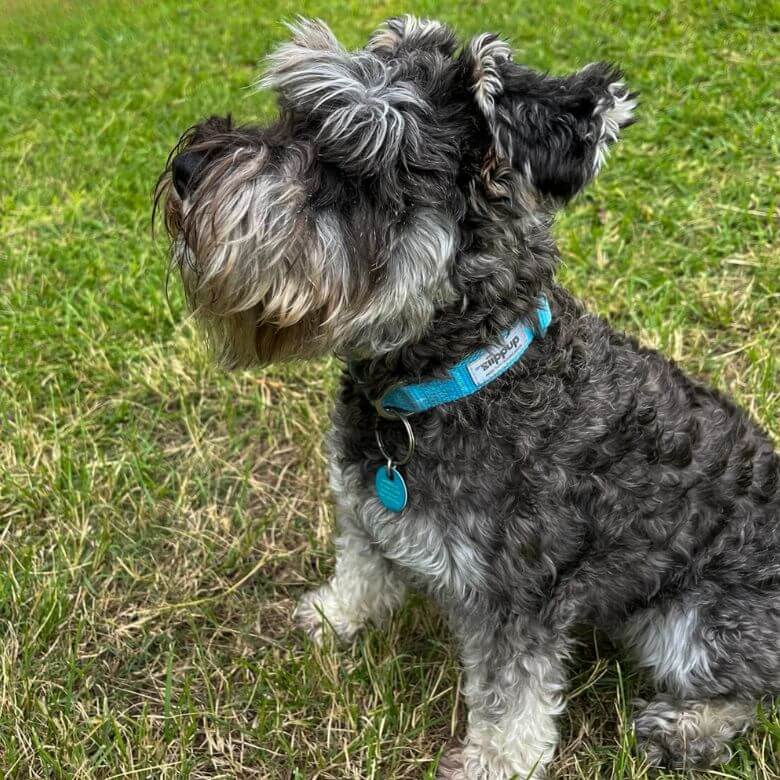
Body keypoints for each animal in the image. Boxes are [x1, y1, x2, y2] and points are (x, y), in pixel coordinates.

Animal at [155, 15, 776, 776]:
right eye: (290, 112)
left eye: (354, 164)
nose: (187, 167)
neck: (450, 382)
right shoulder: (361, 507)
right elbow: (361, 566)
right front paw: (336, 613)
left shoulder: (520, 600)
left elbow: (513, 698)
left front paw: (493, 762)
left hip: (695, 620)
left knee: (745, 688)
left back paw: (684, 727)